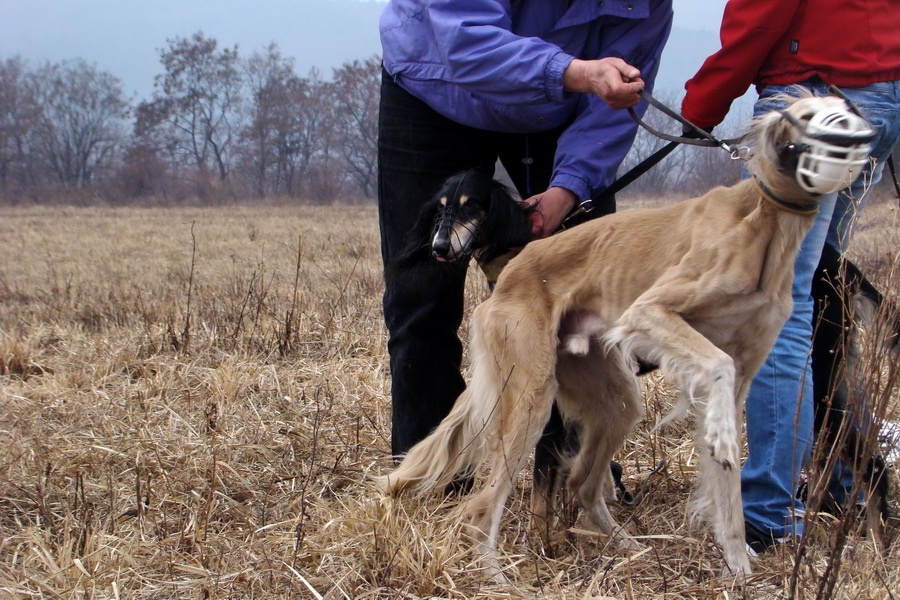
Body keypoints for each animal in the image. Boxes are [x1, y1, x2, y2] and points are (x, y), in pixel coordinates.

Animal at [376, 95, 876, 580]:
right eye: (808, 114)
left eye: (848, 109)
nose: (439, 248)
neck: (761, 219)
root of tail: (515, 272)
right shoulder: (651, 312)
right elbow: (717, 364)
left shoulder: (740, 377)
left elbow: (727, 477)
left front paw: (739, 566)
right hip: (532, 393)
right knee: (485, 506)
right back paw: (497, 576)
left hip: (613, 396)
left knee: (581, 483)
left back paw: (628, 549)